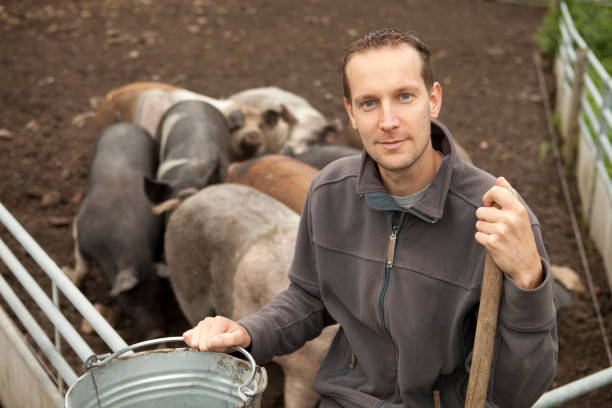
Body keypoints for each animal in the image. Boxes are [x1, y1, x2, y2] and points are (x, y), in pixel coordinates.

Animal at [65, 122, 165, 340]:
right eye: (130, 300)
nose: (156, 333)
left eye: (156, 296)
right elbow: (83, 266)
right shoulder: (81, 235)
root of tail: (125, 124)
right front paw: (76, 283)